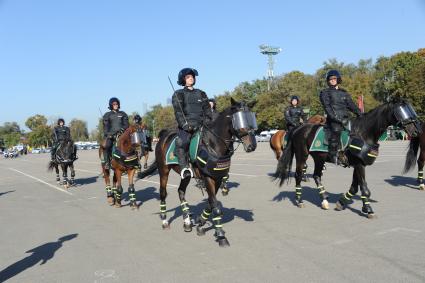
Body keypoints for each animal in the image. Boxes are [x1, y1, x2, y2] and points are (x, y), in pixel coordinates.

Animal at [139, 98, 256, 247]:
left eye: (251, 118)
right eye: (239, 119)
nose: (252, 145)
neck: (213, 144)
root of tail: (164, 137)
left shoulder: (217, 178)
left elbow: (211, 203)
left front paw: (200, 223)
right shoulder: (207, 178)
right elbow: (215, 205)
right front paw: (220, 235)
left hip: (186, 175)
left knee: (181, 191)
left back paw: (187, 222)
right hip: (163, 170)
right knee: (163, 193)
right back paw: (165, 221)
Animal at [274, 96, 420, 219]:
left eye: (410, 109)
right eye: (401, 110)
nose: (416, 131)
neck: (363, 132)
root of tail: (299, 129)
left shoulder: (358, 164)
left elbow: (355, 187)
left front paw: (343, 203)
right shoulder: (359, 165)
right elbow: (364, 189)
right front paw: (369, 209)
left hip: (319, 158)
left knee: (316, 176)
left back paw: (324, 199)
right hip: (302, 156)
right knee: (298, 175)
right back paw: (299, 201)